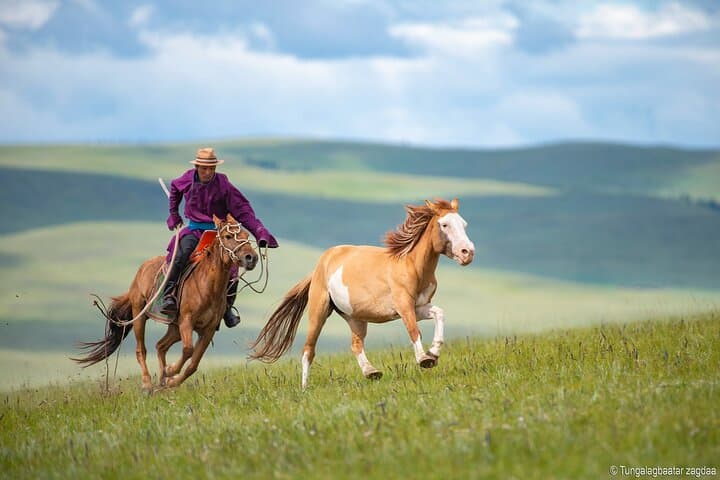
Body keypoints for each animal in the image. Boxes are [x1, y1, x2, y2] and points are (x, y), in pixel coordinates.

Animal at [73, 214, 259, 390]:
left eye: (246, 235)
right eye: (228, 236)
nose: (251, 258)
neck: (208, 286)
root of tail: (142, 269)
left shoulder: (208, 330)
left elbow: (193, 364)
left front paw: (171, 380)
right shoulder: (186, 322)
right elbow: (188, 350)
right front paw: (171, 371)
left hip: (174, 328)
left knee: (161, 346)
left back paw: (162, 380)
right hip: (140, 315)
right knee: (141, 350)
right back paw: (147, 384)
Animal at [250, 198, 474, 389]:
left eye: (464, 224)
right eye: (444, 225)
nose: (468, 253)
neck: (411, 265)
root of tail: (319, 265)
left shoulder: (418, 306)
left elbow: (439, 313)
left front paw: (434, 353)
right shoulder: (403, 305)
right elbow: (413, 330)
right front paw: (425, 359)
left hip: (355, 318)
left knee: (355, 345)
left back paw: (371, 372)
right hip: (318, 312)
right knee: (308, 350)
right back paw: (305, 389)